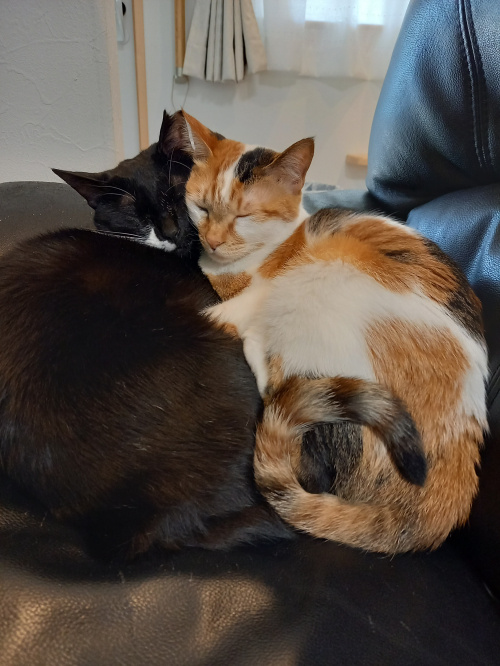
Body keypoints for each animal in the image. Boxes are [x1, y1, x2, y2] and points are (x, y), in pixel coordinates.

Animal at [159, 110, 488, 554]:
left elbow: (224, 316)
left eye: (244, 216)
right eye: (201, 206)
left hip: (327, 273)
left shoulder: (258, 294)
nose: (210, 241)